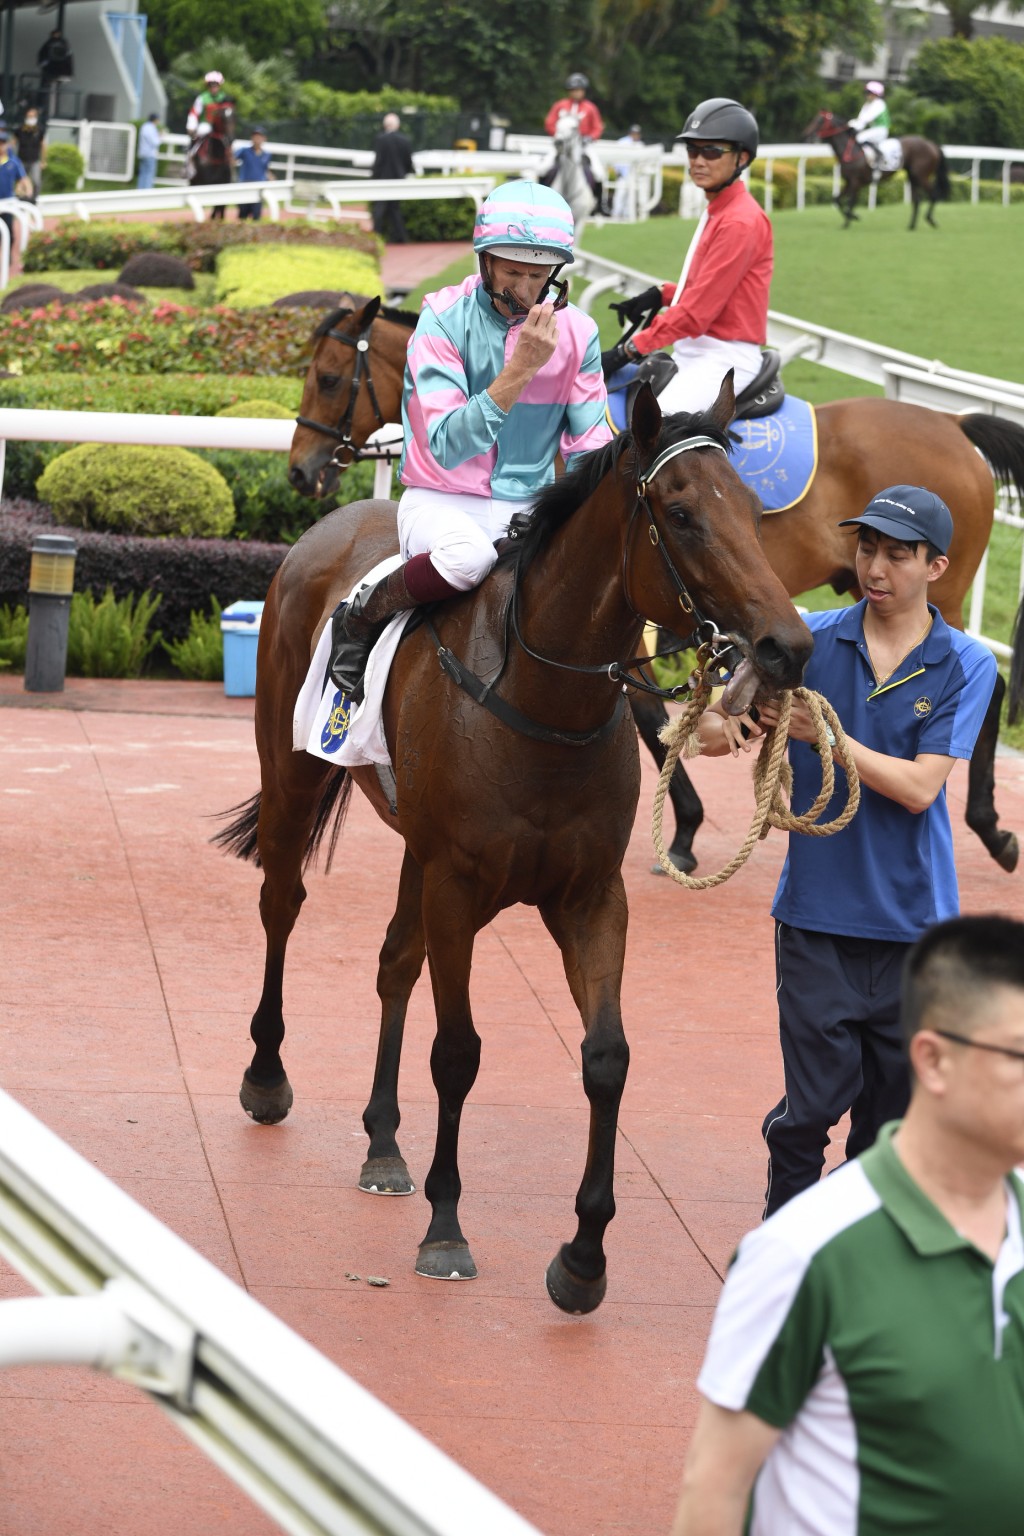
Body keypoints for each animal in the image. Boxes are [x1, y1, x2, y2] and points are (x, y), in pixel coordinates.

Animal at [221, 380, 810, 1308]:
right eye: (681, 515)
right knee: (282, 904)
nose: (791, 646)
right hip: (292, 776)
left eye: (753, 510)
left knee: (395, 962)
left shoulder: (589, 895)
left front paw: (584, 1255)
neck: (543, 703)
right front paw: (446, 1225)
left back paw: (383, 1142)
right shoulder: (459, 887)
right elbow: (458, 1053)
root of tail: (331, 522)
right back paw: (267, 1074)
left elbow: (606, 1057)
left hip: (414, 851)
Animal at [284, 294, 1024, 878]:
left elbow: (642, 708)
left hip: (940, 593)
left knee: (989, 682)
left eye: (326, 377)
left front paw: (687, 823)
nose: (299, 470)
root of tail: (954, 424)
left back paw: (992, 828)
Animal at [804, 111, 951, 230]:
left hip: (921, 176)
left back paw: (930, 220)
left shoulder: (856, 183)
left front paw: (850, 220)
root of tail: (932, 144)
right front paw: (851, 218)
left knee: (933, 195)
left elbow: (850, 202)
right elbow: (836, 199)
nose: (807, 134)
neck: (851, 151)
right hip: (912, 177)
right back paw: (911, 226)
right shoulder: (848, 182)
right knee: (917, 201)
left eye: (819, 121)